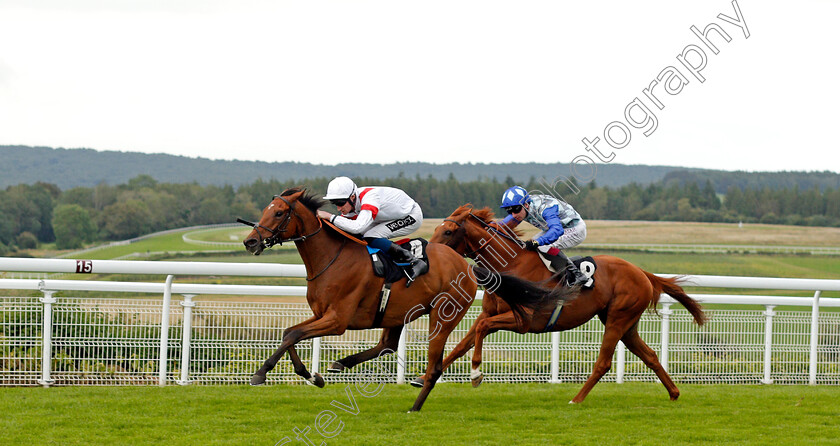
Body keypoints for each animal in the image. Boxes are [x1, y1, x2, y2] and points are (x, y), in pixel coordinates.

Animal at [240, 188, 576, 412]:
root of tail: (467, 266)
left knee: (434, 365)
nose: (250, 241)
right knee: (387, 345)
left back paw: (415, 405)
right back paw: (342, 363)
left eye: (279, 212)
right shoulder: (322, 314)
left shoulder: (337, 320)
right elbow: (290, 333)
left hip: (443, 315)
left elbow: (293, 334)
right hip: (396, 314)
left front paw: (260, 374)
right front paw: (311, 375)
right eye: (267, 209)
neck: (332, 258)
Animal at [424, 206, 704, 404]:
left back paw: (576, 399)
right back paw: (674, 393)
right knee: (650, 355)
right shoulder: (491, 313)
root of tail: (641, 272)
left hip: (618, 319)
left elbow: (481, 330)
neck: (510, 265)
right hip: (627, 323)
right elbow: (461, 345)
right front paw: (423, 379)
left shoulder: (524, 321)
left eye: (448, 231)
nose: (430, 253)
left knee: (603, 363)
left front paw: (475, 374)